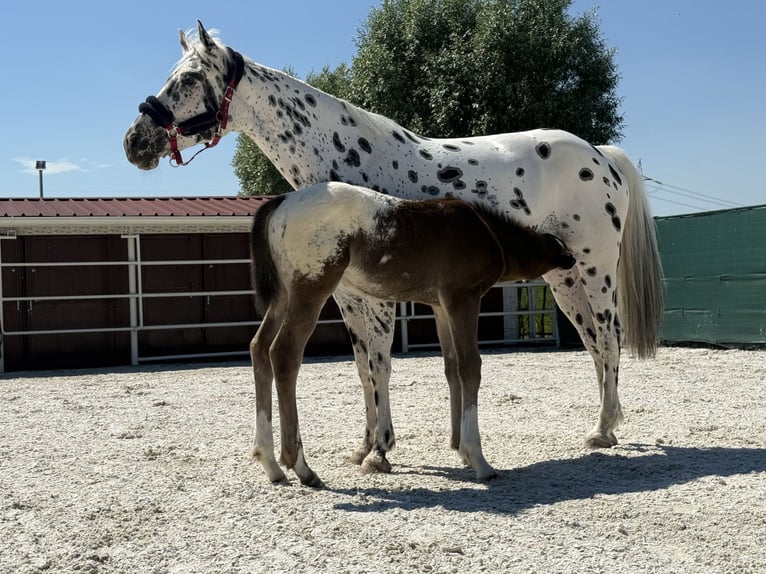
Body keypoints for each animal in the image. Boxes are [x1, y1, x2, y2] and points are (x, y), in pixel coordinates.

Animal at [249, 181, 576, 485]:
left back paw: (270, 462)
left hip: (283, 297)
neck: (486, 232)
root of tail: (281, 202)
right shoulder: (463, 298)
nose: (572, 258)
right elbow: (470, 366)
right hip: (311, 290)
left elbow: (451, 367)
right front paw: (477, 457)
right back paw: (300, 466)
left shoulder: (440, 306)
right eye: (558, 244)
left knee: (259, 347)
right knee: (284, 353)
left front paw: (458, 446)